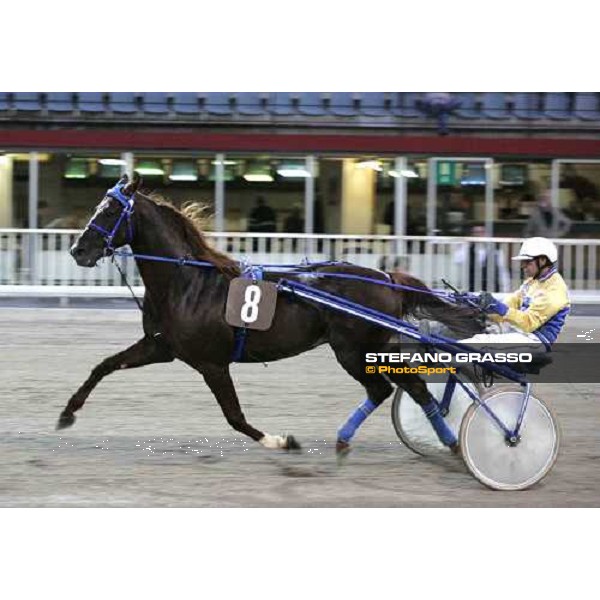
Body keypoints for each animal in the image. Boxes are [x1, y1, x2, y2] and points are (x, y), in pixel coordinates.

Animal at [61, 176, 482, 452]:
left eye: (111, 211)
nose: (77, 250)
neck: (186, 281)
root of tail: (386, 276)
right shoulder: (160, 347)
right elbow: (103, 366)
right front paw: (67, 414)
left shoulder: (211, 363)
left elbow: (234, 416)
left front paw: (280, 441)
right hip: (367, 349)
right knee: (406, 388)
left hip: (354, 350)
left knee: (391, 388)